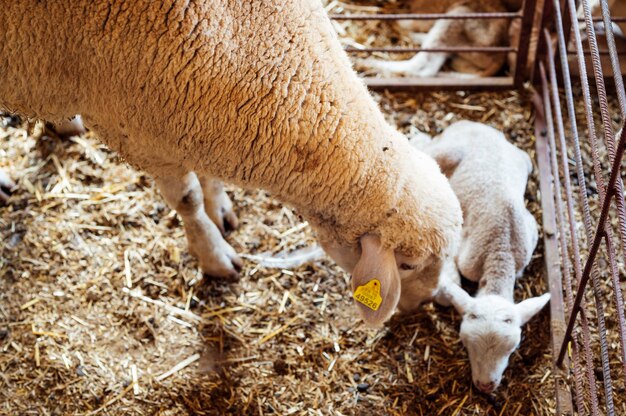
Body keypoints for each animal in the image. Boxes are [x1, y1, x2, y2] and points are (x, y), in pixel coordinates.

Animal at [0, 1, 458, 330]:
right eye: (408, 265)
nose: (424, 303)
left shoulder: (195, 113)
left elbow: (207, 175)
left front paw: (220, 208)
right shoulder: (140, 131)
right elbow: (186, 199)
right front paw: (214, 255)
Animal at [412, 121, 548, 394]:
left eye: (513, 348)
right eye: (465, 343)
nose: (486, 385)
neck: (501, 252)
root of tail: (470, 123)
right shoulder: (464, 253)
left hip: (524, 159)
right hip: (444, 150)